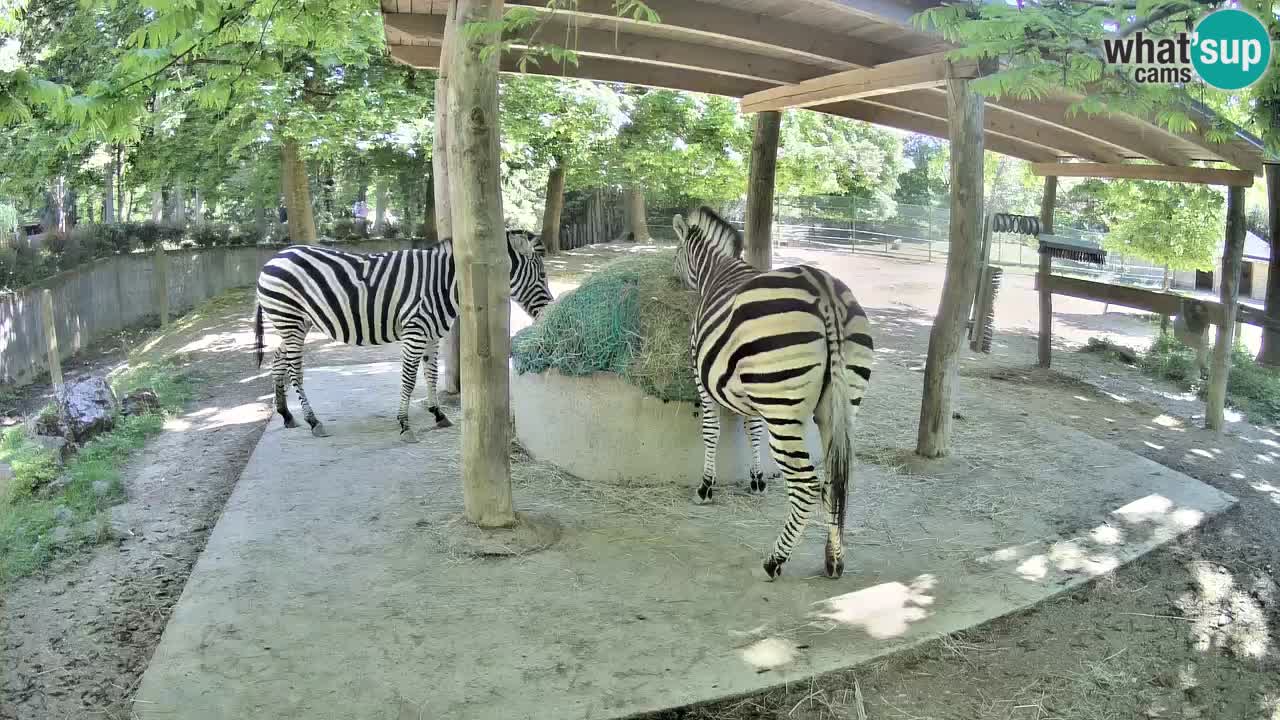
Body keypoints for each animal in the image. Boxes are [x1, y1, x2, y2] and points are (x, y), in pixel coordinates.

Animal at [253, 230, 553, 441]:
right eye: (542, 274)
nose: (549, 309)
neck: (444, 284)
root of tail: (274, 258)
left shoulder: (432, 335)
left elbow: (431, 375)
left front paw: (438, 414)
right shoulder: (415, 332)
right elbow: (408, 379)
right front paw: (404, 424)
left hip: (295, 323)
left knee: (278, 360)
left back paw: (287, 415)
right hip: (290, 319)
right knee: (294, 370)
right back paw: (313, 420)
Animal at [672, 206, 874, 580]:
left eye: (677, 252)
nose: (671, 275)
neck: (716, 271)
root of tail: (824, 292)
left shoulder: (703, 377)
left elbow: (711, 431)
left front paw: (706, 487)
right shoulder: (750, 389)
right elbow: (751, 429)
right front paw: (756, 480)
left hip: (783, 410)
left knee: (806, 485)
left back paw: (775, 560)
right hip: (839, 408)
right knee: (834, 484)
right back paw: (834, 561)